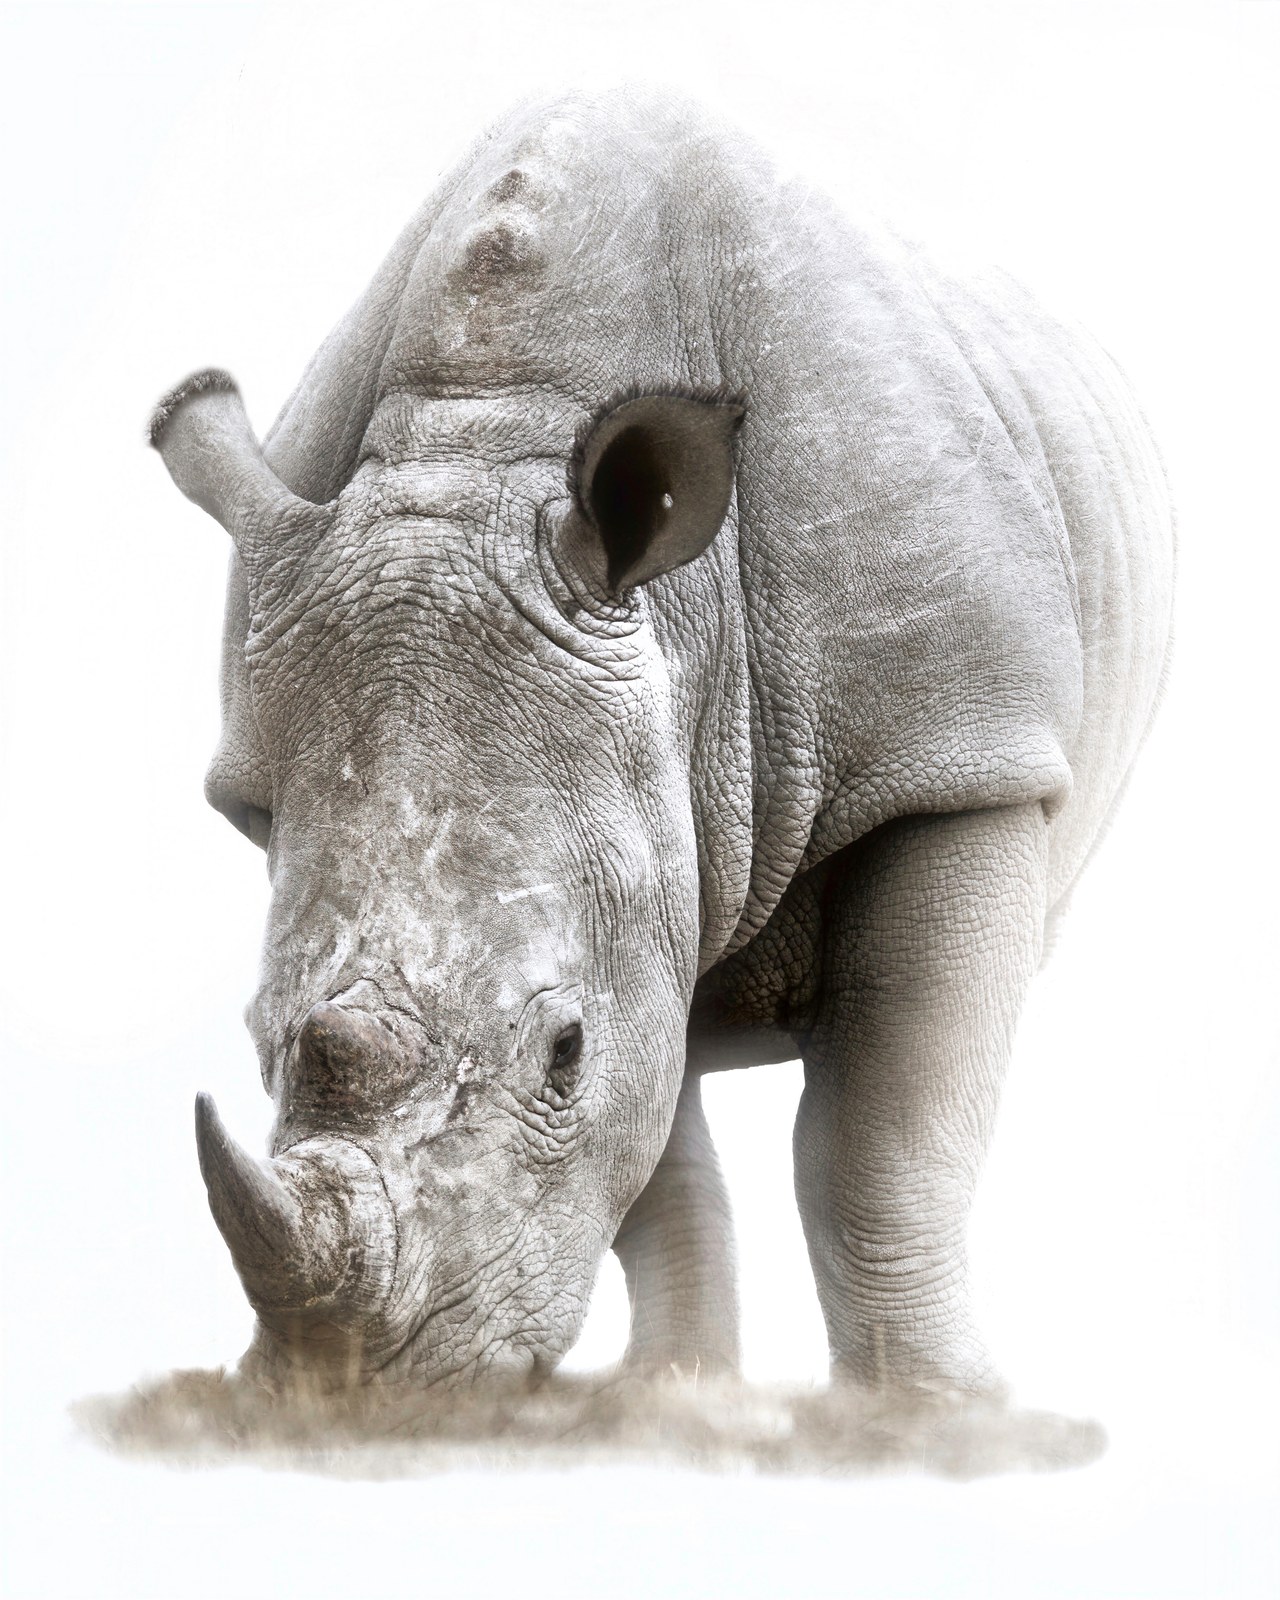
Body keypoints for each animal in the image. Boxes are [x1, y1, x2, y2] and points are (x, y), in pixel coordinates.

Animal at [149, 90, 1174, 1398]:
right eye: (253, 1034)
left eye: (562, 1049)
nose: (363, 1398)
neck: (489, 447)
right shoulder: (627, 831)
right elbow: (655, 1156)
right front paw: (671, 1401)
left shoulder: (956, 748)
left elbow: (880, 1144)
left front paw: (938, 1417)